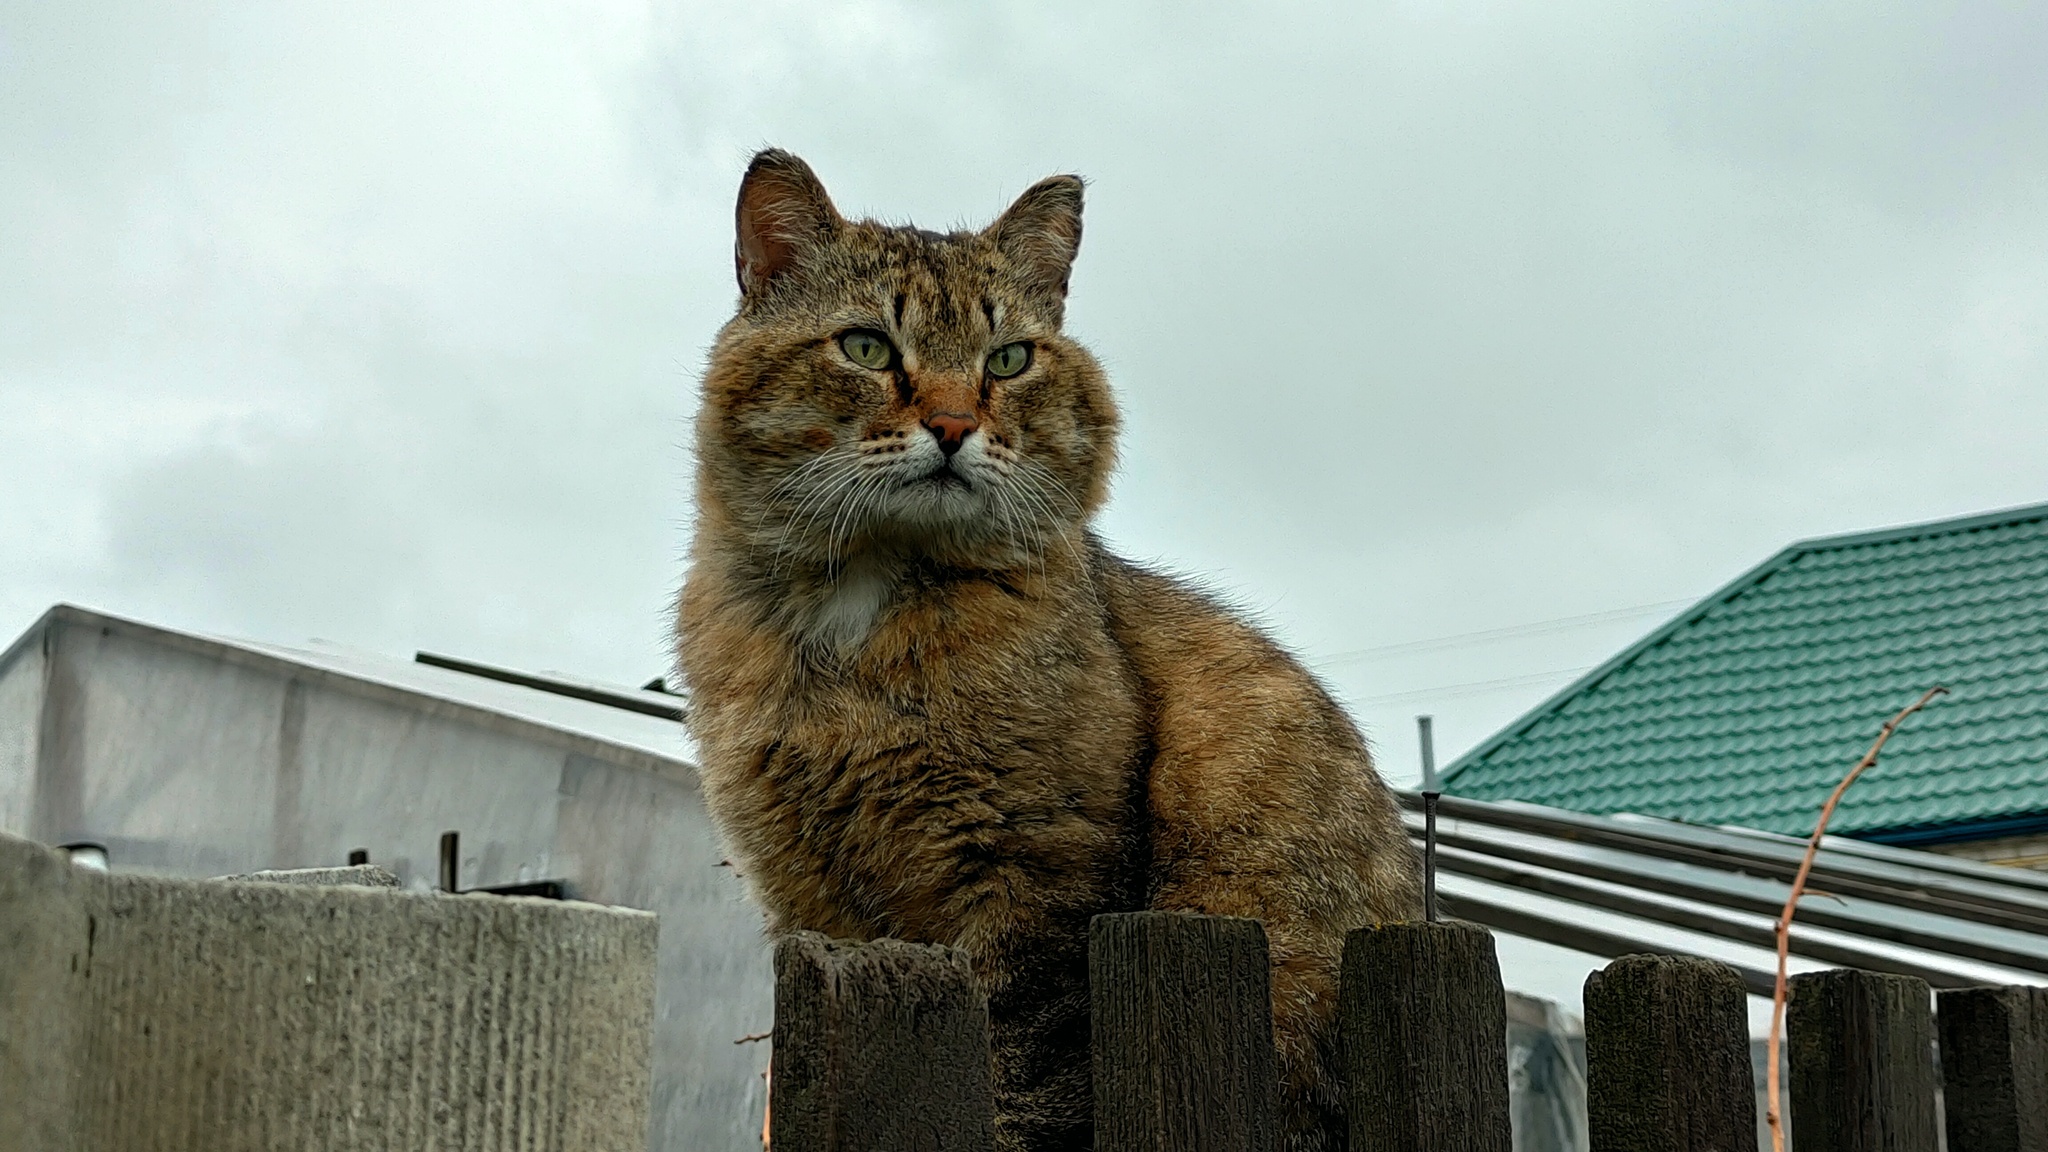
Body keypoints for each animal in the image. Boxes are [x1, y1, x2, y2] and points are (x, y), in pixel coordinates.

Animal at [679, 152, 1417, 1147]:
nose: (954, 427)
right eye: (867, 348)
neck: (856, 636)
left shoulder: (1039, 887)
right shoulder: (809, 899)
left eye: (1009, 359)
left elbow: (1019, 1083)